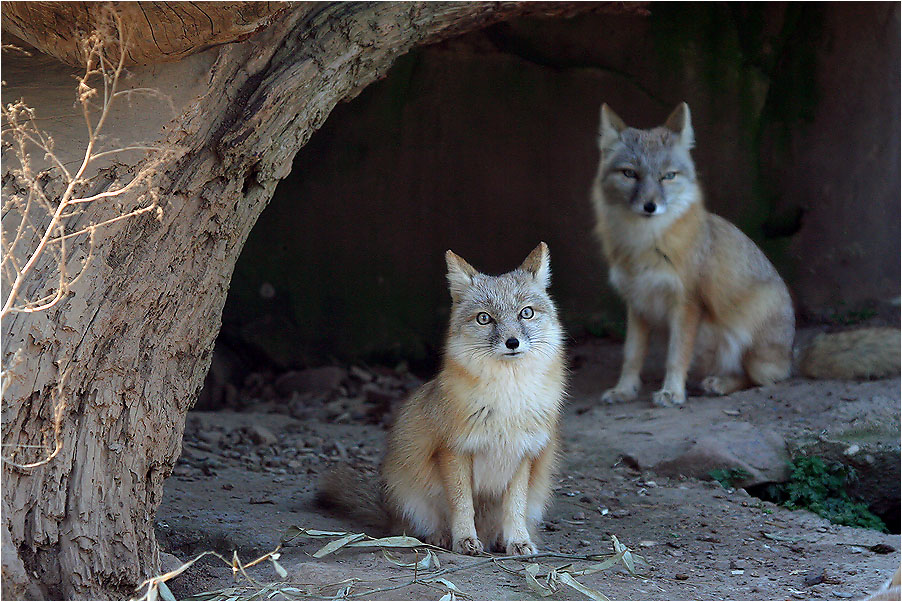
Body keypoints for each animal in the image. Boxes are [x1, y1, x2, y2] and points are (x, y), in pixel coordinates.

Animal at [318, 243, 564, 552]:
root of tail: (388, 514)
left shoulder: (522, 454)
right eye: (485, 318)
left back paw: (497, 539)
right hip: (408, 492)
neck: (506, 401)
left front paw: (517, 541)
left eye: (526, 313)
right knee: (415, 527)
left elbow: (515, 506)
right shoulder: (453, 450)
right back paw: (440, 536)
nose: (512, 342)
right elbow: (462, 504)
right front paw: (465, 539)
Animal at [592, 103, 896, 406]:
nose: (650, 206)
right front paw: (624, 390)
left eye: (668, 176)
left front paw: (672, 392)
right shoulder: (637, 305)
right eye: (630, 174)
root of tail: (791, 354)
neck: (642, 245)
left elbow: (676, 356)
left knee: (760, 378)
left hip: (744, 326)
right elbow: (632, 355)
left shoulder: (686, 304)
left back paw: (720, 383)